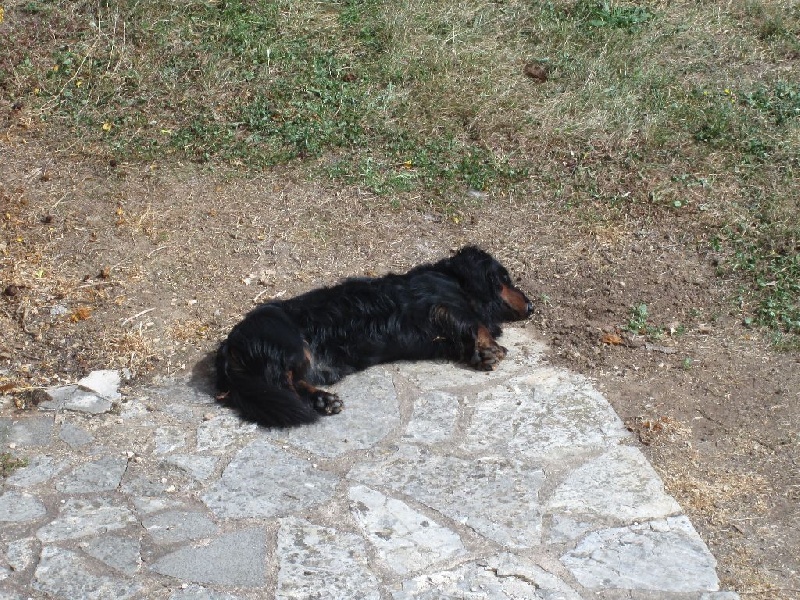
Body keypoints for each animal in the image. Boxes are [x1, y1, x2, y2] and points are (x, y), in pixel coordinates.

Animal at [216, 246, 536, 428]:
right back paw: (319, 401)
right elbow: (475, 323)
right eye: (504, 278)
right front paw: (490, 350)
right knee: (282, 384)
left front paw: (479, 353)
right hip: (293, 346)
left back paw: (323, 401)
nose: (532, 306)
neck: (452, 278)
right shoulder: (441, 305)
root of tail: (230, 344)